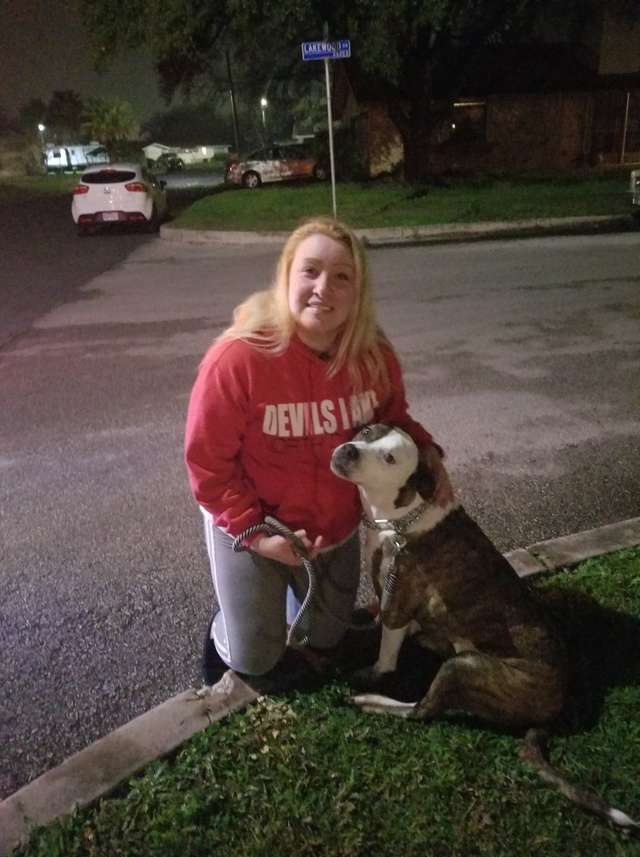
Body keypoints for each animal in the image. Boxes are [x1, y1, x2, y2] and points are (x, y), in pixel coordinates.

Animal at [330, 424, 637, 831]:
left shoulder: (397, 601)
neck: (404, 517)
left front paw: (373, 672)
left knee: (423, 711)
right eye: (366, 432)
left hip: (465, 666)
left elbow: (387, 655)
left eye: (390, 458)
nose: (349, 450)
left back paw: (368, 700)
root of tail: (556, 706)